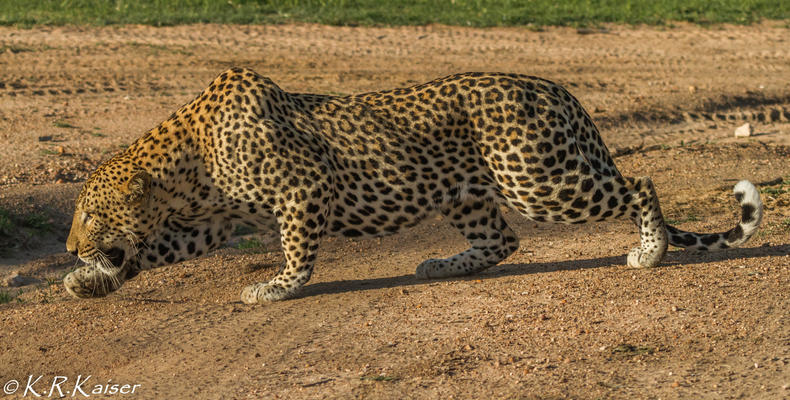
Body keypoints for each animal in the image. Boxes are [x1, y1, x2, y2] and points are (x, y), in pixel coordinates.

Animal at [65, 68, 764, 304]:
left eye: (91, 216)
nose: (69, 246)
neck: (190, 167)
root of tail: (559, 90)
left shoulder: (303, 192)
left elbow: (297, 253)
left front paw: (276, 287)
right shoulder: (213, 223)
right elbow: (152, 251)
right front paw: (88, 280)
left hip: (538, 180)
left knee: (638, 181)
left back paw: (650, 250)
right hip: (471, 192)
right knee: (502, 242)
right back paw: (440, 265)